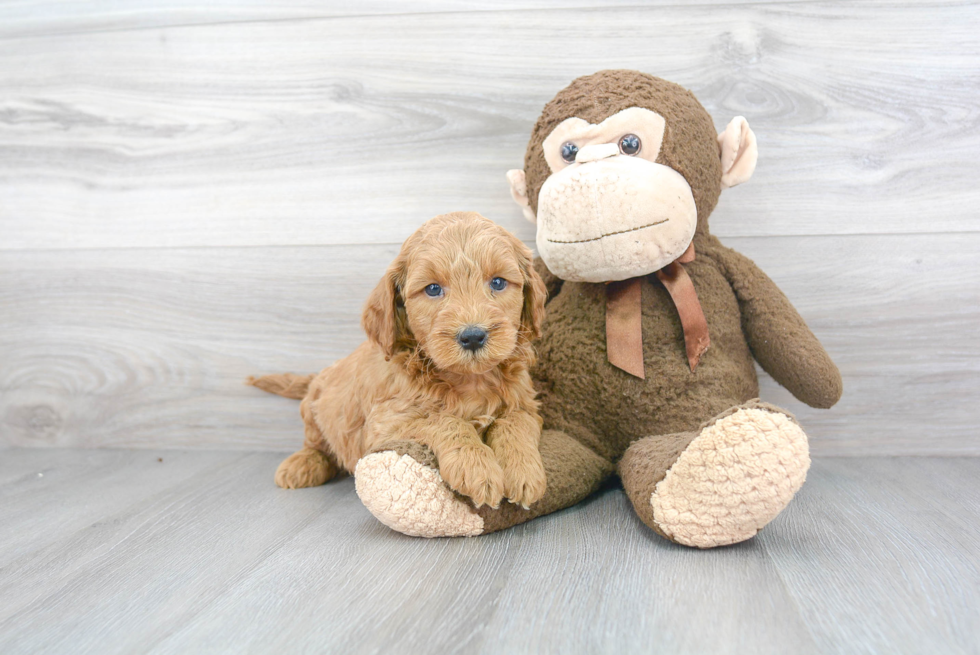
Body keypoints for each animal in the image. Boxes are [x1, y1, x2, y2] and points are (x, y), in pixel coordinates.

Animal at [256, 213, 548, 510]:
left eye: (498, 283)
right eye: (433, 289)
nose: (473, 336)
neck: (470, 380)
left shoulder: (526, 405)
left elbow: (515, 423)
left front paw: (523, 471)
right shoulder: (386, 423)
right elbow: (445, 421)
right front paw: (476, 466)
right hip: (314, 409)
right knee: (316, 444)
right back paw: (303, 464)